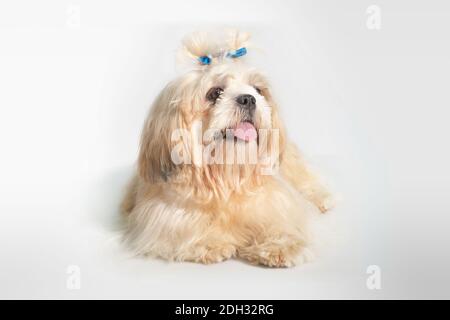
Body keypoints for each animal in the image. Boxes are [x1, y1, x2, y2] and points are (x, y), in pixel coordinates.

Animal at [121, 30, 332, 268]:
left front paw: (280, 246)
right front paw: (209, 243)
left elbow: (283, 223)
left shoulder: (278, 202)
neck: (227, 177)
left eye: (258, 90)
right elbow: (184, 231)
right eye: (215, 93)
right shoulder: (164, 218)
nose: (248, 99)